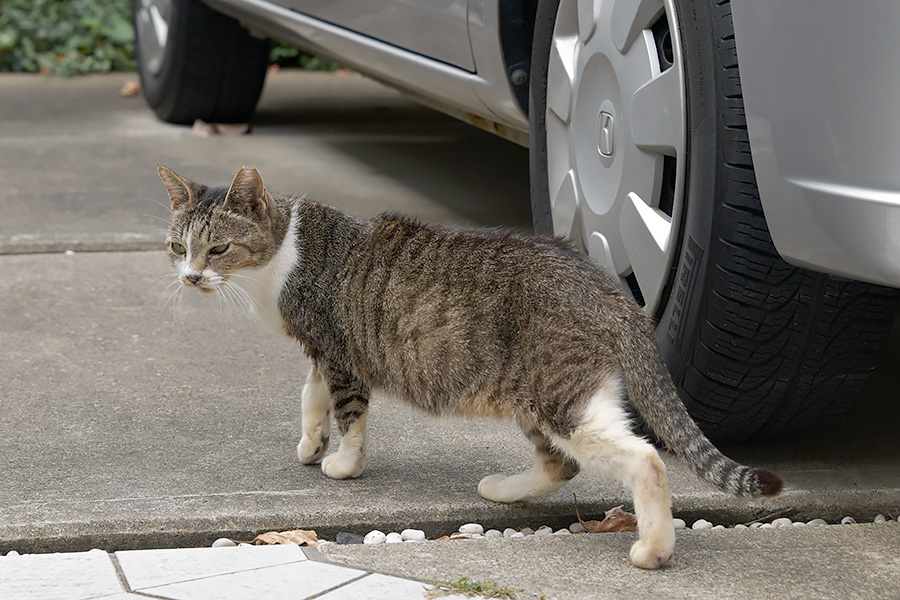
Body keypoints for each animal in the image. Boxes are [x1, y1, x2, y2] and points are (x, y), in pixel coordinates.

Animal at [158, 166, 776, 568]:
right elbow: (311, 395)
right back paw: (503, 489)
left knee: (643, 459)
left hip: (561, 397)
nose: (189, 278)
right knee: (562, 465)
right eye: (175, 247)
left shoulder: (341, 355)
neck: (285, 253)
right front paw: (312, 442)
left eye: (217, 249)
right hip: (539, 398)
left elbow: (349, 415)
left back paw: (653, 549)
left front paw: (343, 463)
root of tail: (609, 288)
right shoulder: (324, 350)